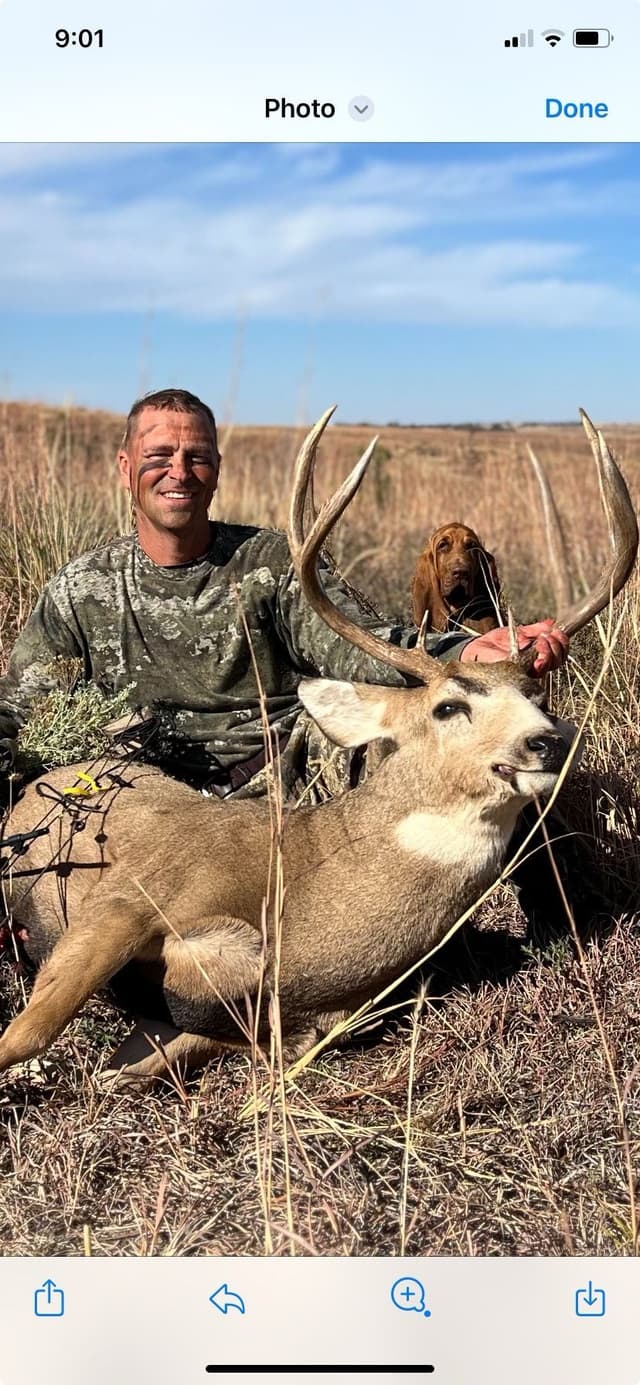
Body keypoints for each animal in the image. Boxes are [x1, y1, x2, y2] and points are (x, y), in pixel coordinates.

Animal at [0, 409, 636, 1084]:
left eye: (537, 696)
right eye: (448, 706)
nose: (547, 742)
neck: (299, 903)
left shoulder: (308, 1021)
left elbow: (157, 1054)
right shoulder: (130, 895)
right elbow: (28, 1032)